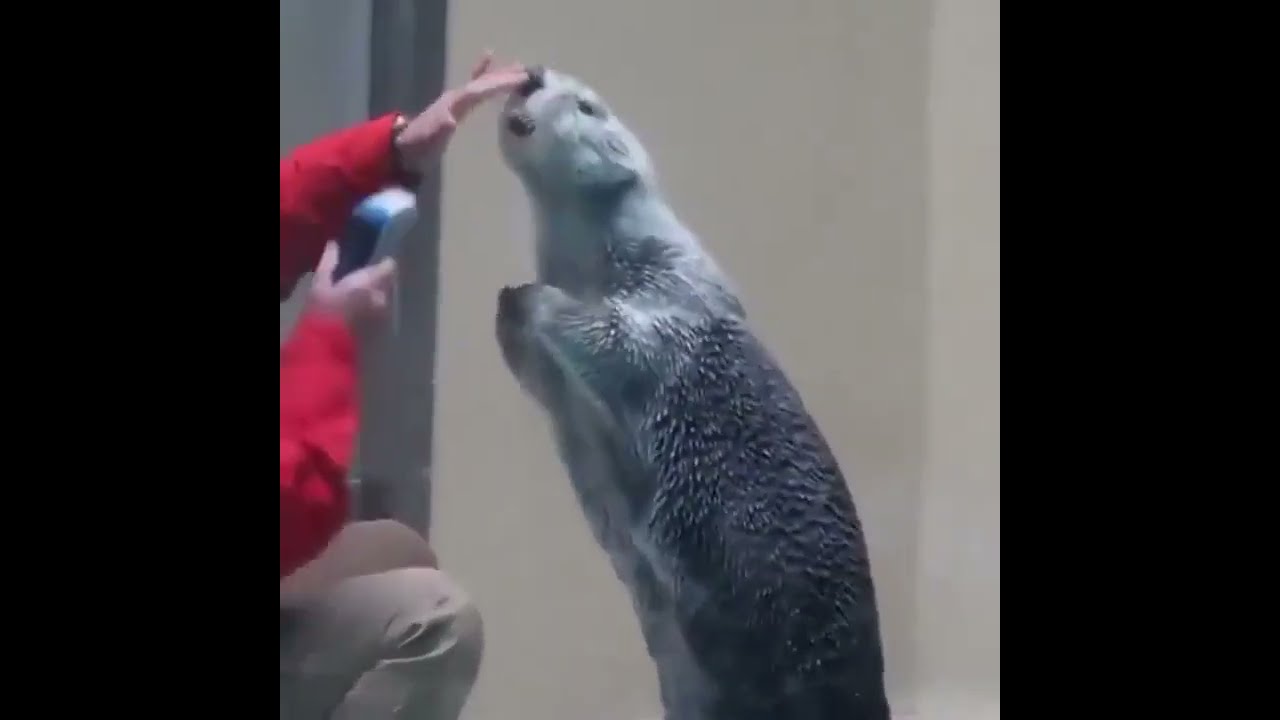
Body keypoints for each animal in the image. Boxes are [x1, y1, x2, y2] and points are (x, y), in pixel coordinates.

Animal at [494, 67, 891, 720]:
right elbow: (545, 375)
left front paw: (535, 299)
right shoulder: (564, 388)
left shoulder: (672, 296)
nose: (531, 75)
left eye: (587, 106)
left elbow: (619, 338)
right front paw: (509, 308)